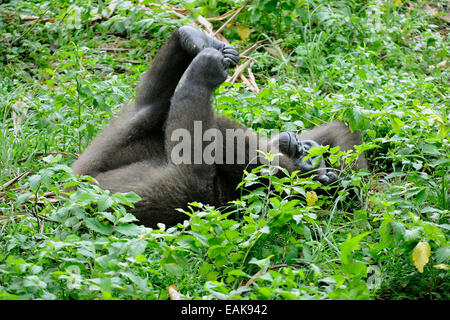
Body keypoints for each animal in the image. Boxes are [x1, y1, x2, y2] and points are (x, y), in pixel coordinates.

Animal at [69, 25, 366, 228]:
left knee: (184, 160)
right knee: (149, 111)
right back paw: (193, 40)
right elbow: (343, 130)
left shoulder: (265, 166)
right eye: (309, 153)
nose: (301, 146)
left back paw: (204, 69)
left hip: (87, 181)